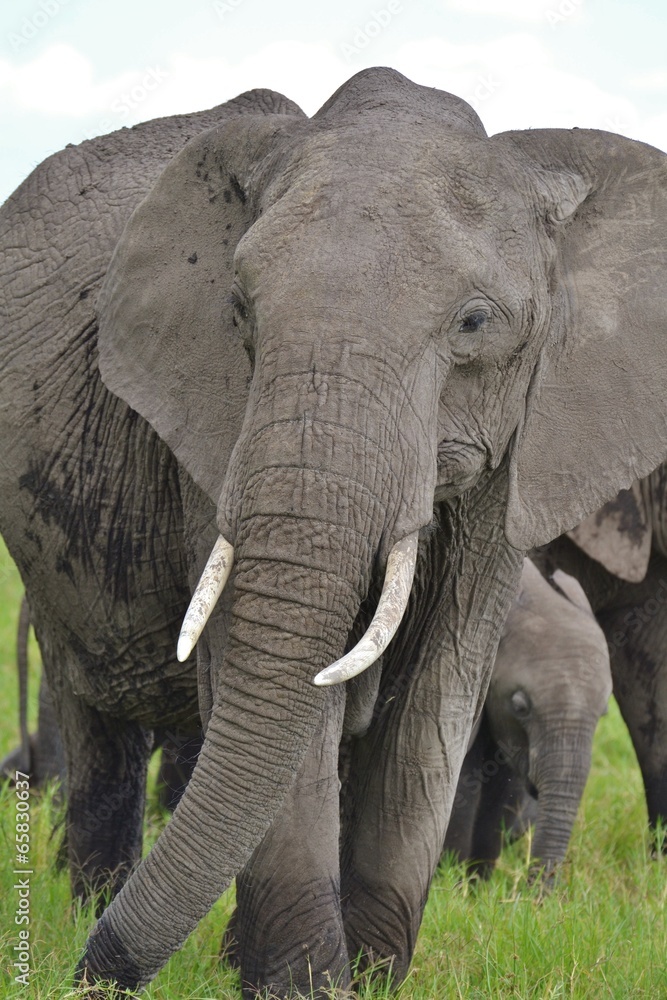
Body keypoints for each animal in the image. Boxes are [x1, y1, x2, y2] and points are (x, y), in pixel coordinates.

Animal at [443, 558, 612, 878]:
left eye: (605, 712)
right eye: (520, 707)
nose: (533, 890)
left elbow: (504, 791)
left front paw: (479, 883)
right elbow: (463, 783)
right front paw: (453, 878)